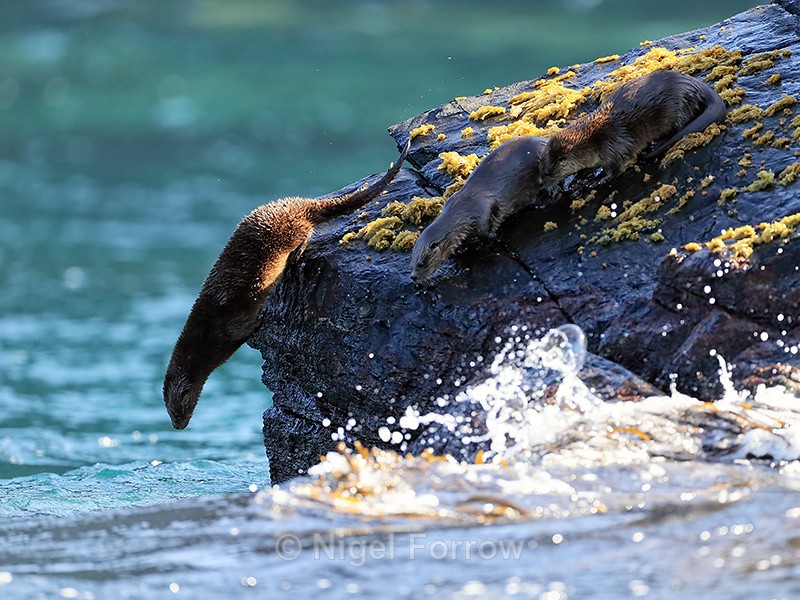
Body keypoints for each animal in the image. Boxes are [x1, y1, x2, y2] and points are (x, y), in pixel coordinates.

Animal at [164, 141, 410, 430]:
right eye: (170, 412)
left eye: (178, 410)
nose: (178, 426)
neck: (204, 338)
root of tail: (298, 203)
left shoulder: (227, 320)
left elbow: (246, 326)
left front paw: (260, 324)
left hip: (288, 229)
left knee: (307, 230)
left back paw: (298, 252)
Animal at [411, 135, 547, 283]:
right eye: (412, 262)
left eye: (421, 264)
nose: (413, 277)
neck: (463, 212)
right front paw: (460, 249)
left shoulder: (483, 211)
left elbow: (488, 234)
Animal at [539, 70, 727, 194]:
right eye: (540, 167)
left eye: (548, 173)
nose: (540, 182)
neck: (593, 140)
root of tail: (694, 85)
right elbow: (586, 168)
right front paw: (576, 180)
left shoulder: (613, 146)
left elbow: (613, 169)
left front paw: (596, 180)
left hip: (678, 107)